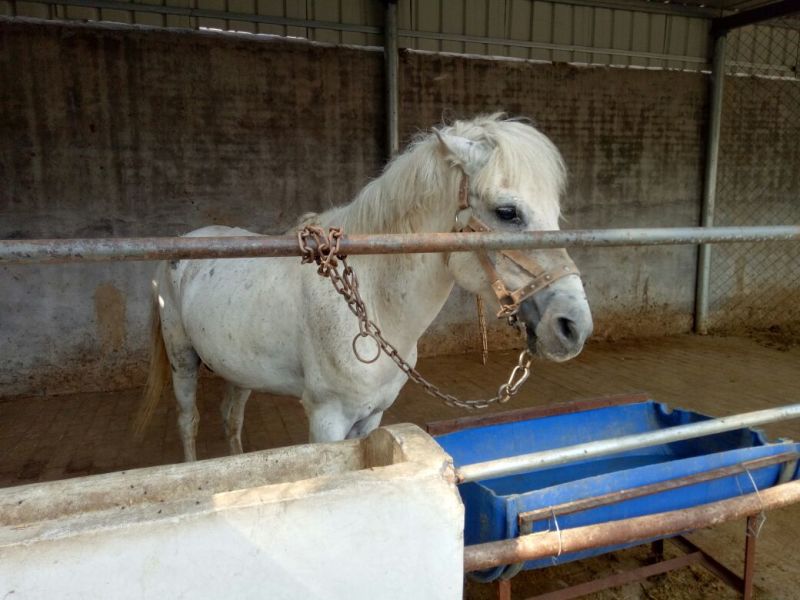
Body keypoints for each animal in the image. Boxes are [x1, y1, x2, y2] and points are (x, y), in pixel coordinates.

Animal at [138, 114, 594, 461]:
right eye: (507, 212)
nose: (574, 327)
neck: (371, 302)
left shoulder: (371, 415)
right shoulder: (327, 418)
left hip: (238, 368)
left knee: (231, 418)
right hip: (182, 359)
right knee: (189, 421)